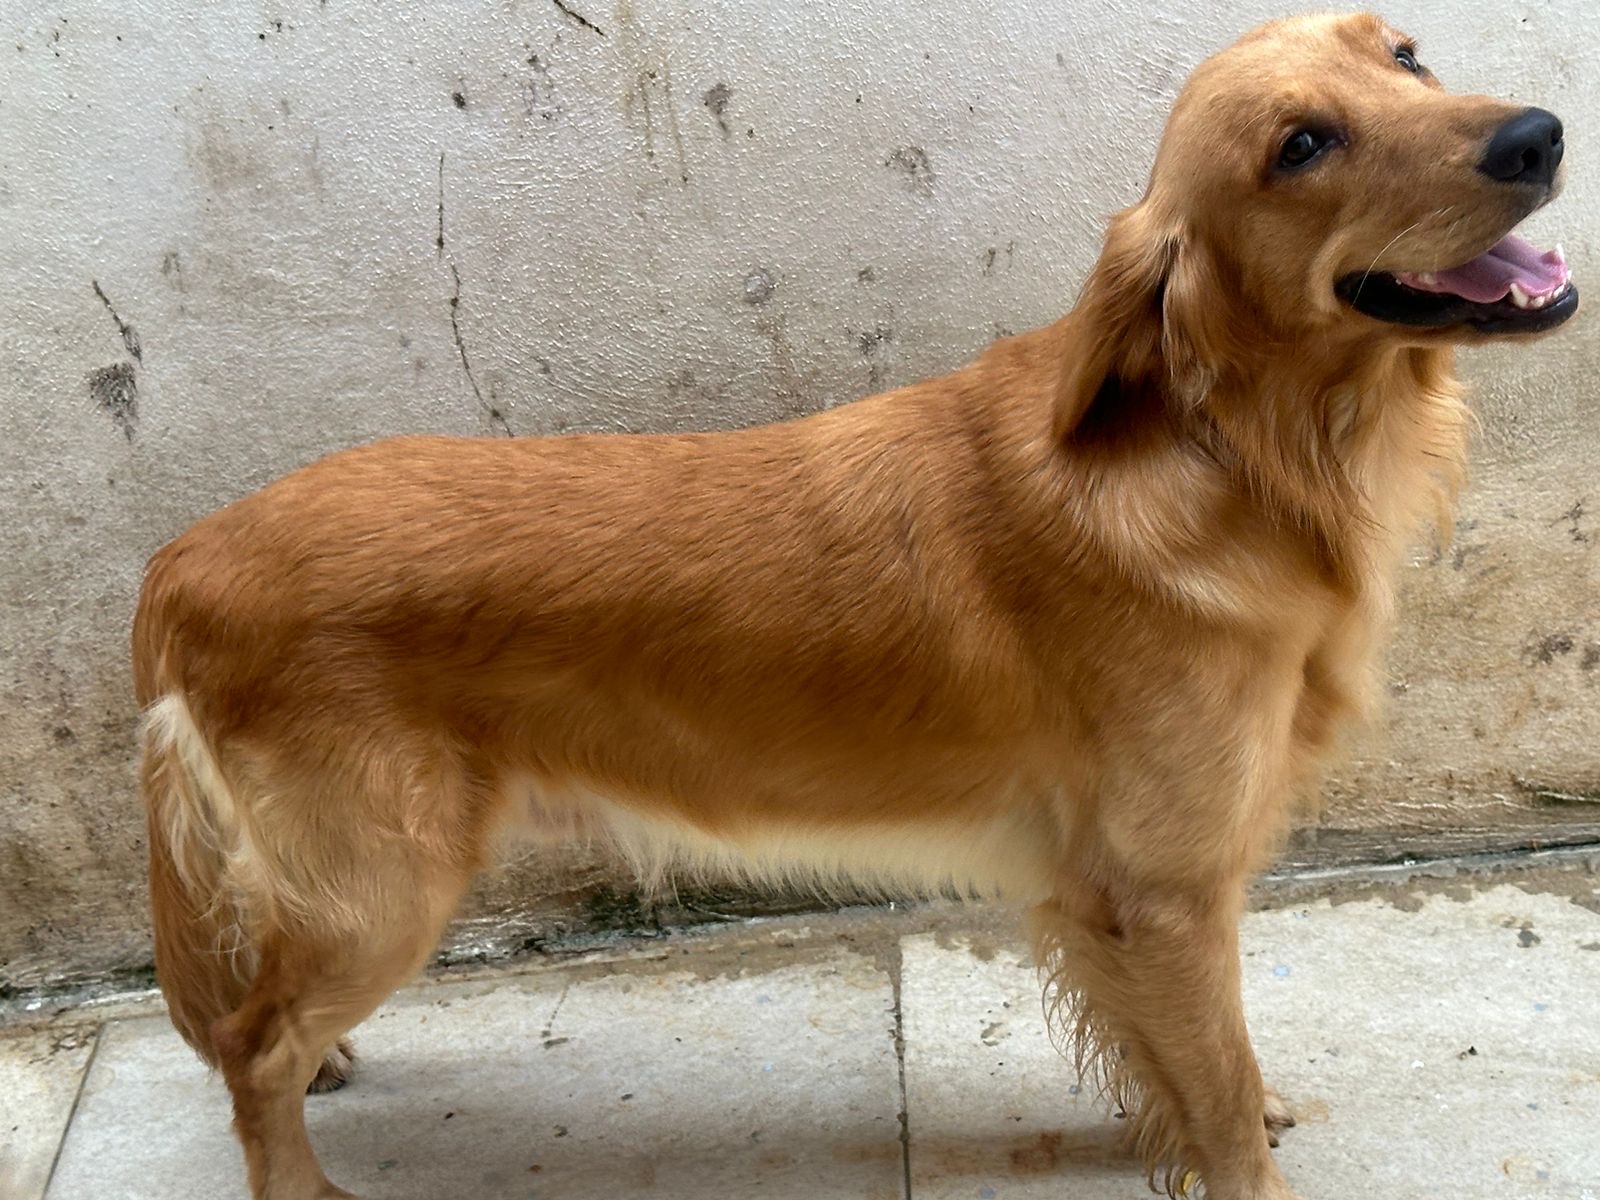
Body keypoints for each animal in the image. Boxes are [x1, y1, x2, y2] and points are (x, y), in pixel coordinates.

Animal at [128, 11, 1574, 1200]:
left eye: (1406, 56)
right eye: (1301, 144)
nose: (1539, 133)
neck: (1230, 454)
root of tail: (185, 554)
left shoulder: (1119, 902)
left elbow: (1191, 1066)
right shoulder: (1167, 891)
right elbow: (1211, 1091)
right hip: (386, 884)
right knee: (251, 1048)